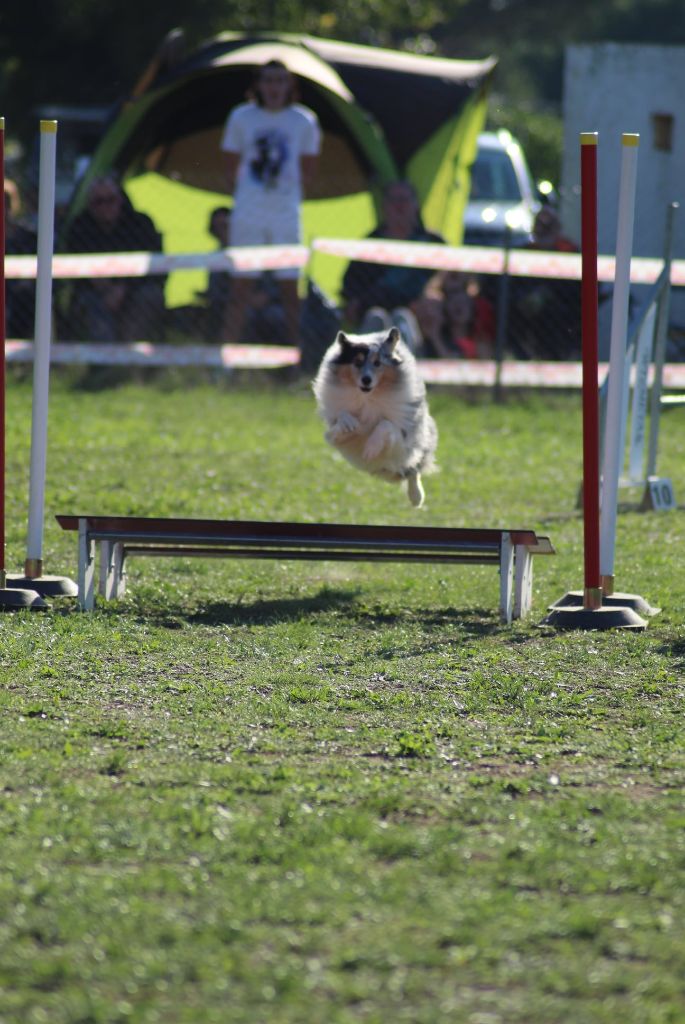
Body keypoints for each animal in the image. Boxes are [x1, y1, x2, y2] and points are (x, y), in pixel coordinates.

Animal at [311, 325, 436, 505]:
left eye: (377, 363)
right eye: (357, 362)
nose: (366, 380)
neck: (368, 397)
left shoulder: (404, 436)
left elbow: (385, 424)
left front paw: (370, 449)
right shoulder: (333, 432)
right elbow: (339, 424)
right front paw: (350, 425)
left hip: (410, 451)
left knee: (413, 469)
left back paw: (416, 497)